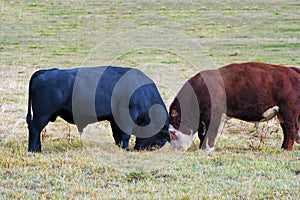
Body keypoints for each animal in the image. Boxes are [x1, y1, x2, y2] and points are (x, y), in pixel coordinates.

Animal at [26, 66, 170, 152]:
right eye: (159, 140)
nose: (140, 149)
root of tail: (44, 71)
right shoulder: (126, 115)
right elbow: (125, 134)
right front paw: (126, 149)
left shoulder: (114, 119)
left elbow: (117, 135)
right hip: (42, 115)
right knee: (34, 129)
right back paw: (33, 150)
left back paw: (38, 149)